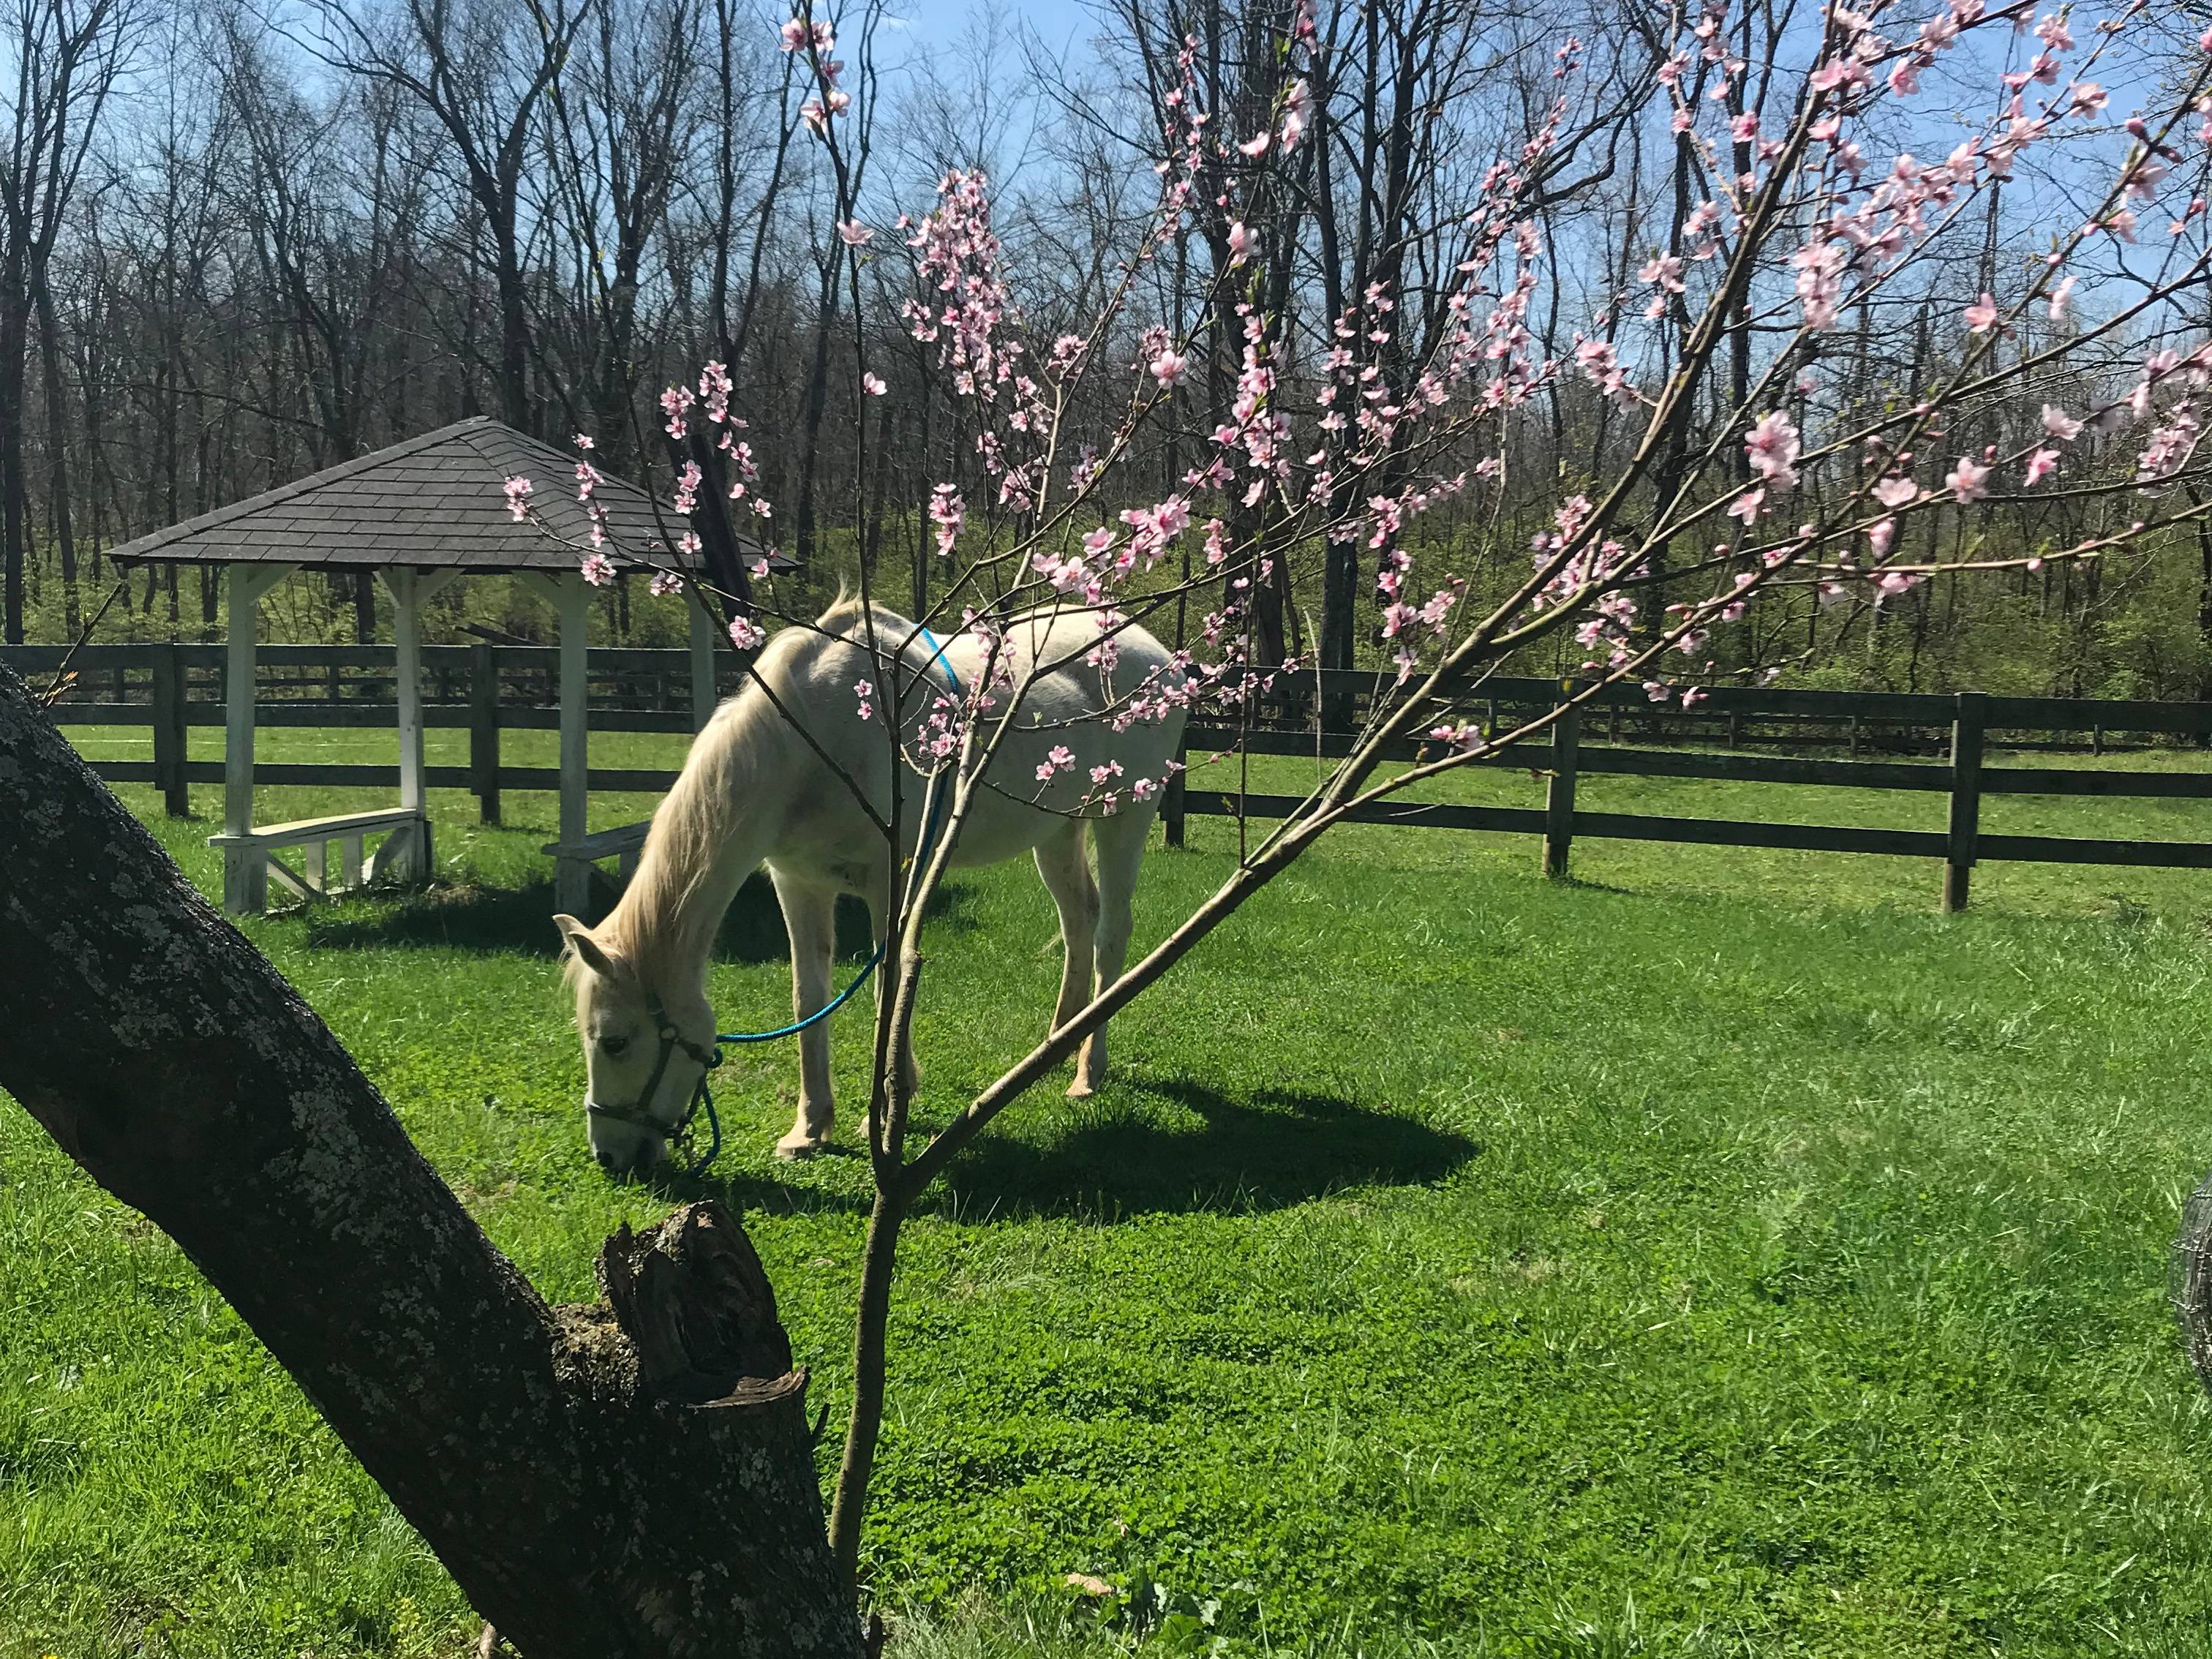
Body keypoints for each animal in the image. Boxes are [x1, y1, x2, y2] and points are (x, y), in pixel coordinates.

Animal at [555, 598, 1187, 1175]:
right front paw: (809, 1128)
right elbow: (808, 997)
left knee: (1110, 935)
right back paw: (1058, 1043)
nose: (610, 1157)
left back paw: (1087, 1070)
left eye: (614, 1041)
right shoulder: (798, 884)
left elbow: (890, 989)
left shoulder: (891, 882)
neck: (815, 741)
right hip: (1057, 832)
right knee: (1078, 922)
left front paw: (884, 1112)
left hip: (1124, 819)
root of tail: (1159, 656)